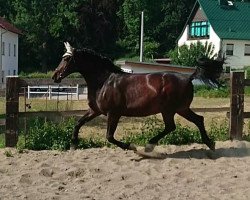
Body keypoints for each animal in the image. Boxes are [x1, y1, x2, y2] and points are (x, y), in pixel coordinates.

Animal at [52, 41, 225, 152]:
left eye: (66, 58)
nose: (55, 76)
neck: (104, 81)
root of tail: (188, 78)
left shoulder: (113, 114)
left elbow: (109, 137)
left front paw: (131, 146)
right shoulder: (95, 110)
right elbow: (78, 123)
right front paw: (73, 144)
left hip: (170, 109)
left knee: (174, 126)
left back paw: (149, 145)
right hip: (180, 109)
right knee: (196, 120)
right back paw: (210, 144)